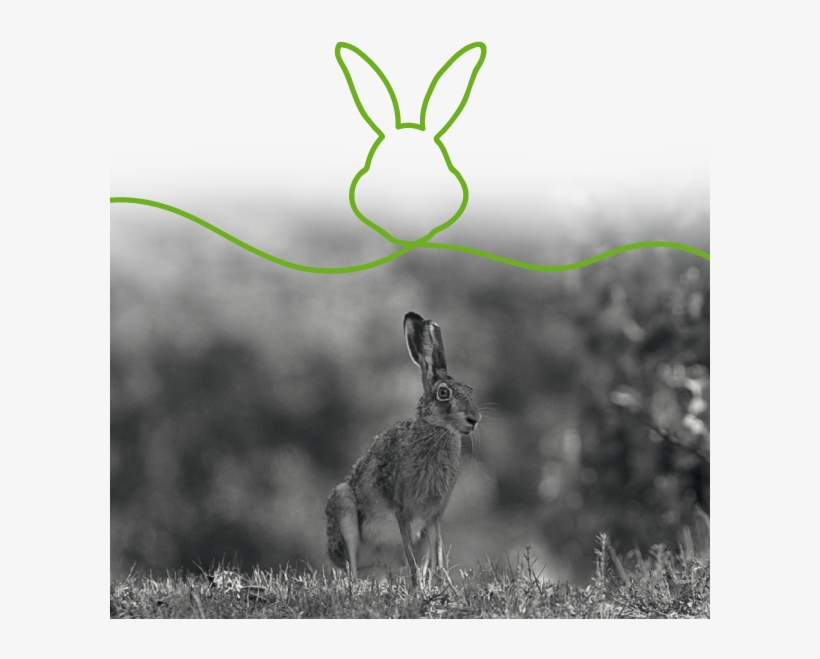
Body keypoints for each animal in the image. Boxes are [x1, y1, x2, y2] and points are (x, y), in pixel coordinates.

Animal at [325, 312, 480, 586]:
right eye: (443, 393)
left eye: (470, 391)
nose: (474, 419)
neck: (435, 430)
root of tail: (375, 567)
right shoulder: (403, 511)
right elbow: (411, 559)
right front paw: (419, 588)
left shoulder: (433, 517)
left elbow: (438, 558)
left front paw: (439, 588)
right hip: (343, 507)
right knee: (351, 568)